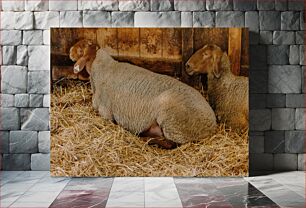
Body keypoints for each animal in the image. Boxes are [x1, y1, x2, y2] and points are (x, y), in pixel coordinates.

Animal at [69, 39, 218, 149]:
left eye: (81, 48)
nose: (70, 51)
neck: (101, 68)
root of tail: (212, 126)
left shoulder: (105, 113)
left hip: (172, 121)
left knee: (171, 144)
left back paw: (145, 138)